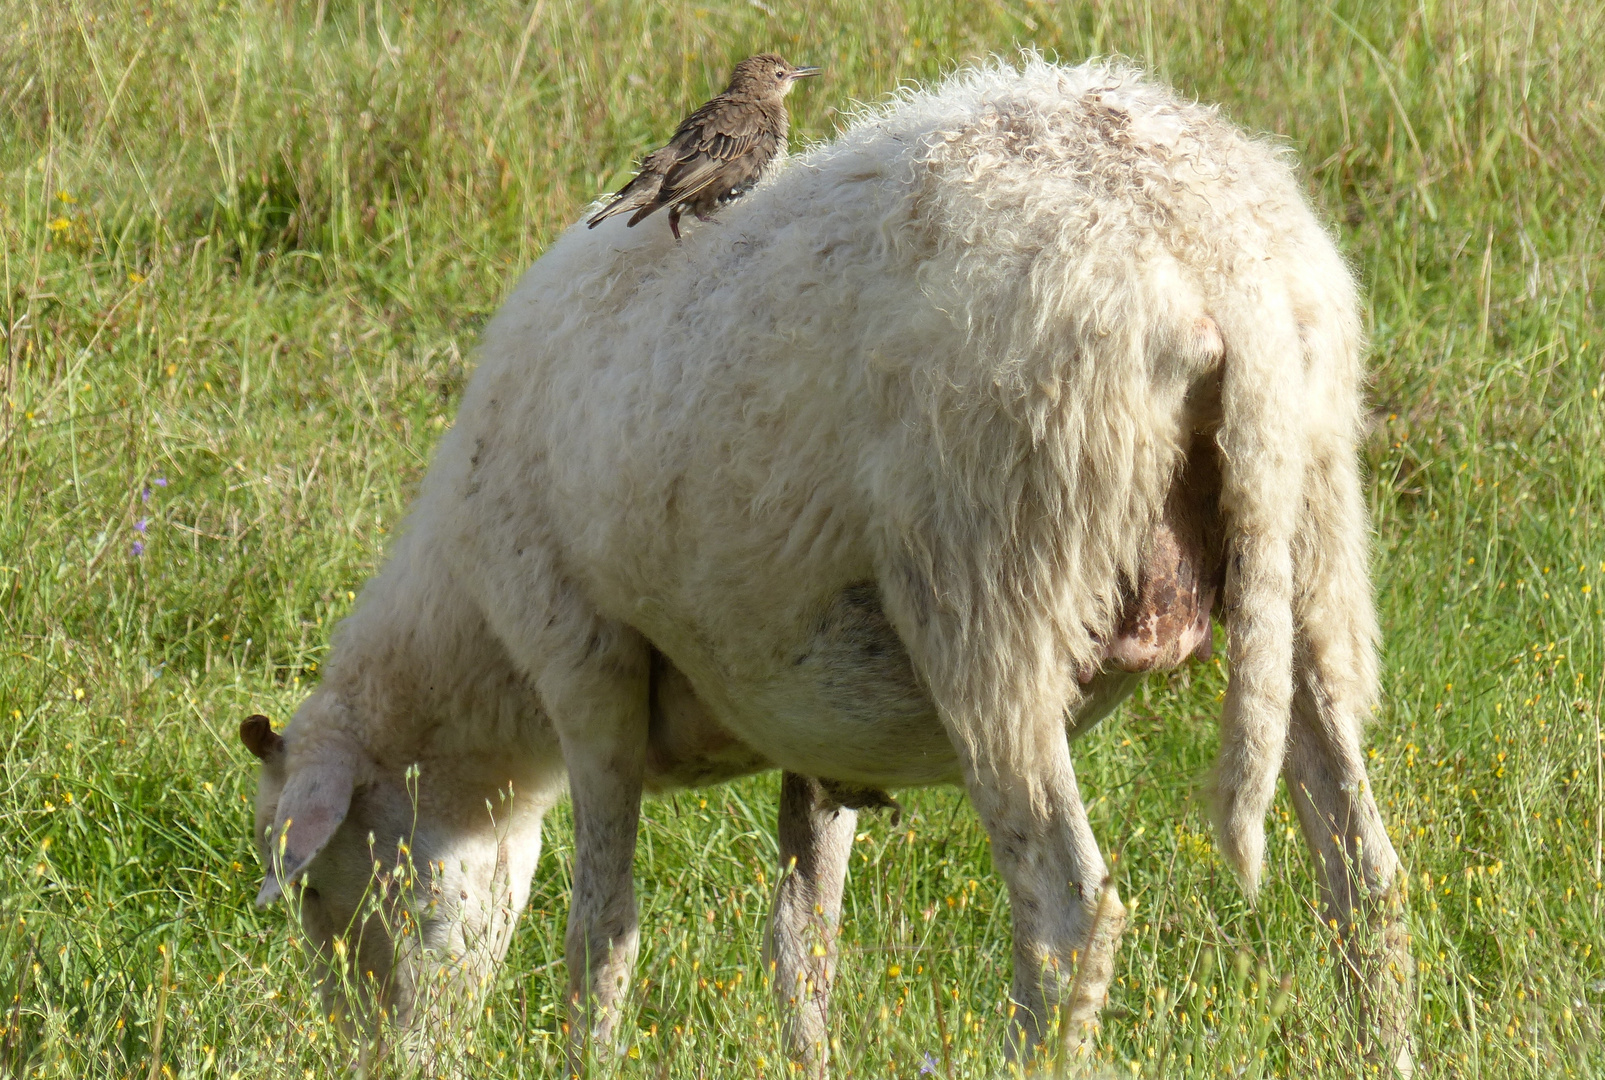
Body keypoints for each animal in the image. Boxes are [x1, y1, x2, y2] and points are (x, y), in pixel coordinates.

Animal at [240, 56, 1418, 1071]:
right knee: (1364, 873)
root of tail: (1207, 255)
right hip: (1307, 547)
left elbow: (602, 932)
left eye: (319, 894)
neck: (475, 665)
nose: (377, 1060)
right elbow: (801, 943)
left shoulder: (585, 665)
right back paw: (1386, 1044)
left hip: (991, 589)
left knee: (1066, 911)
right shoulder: (816, 717)